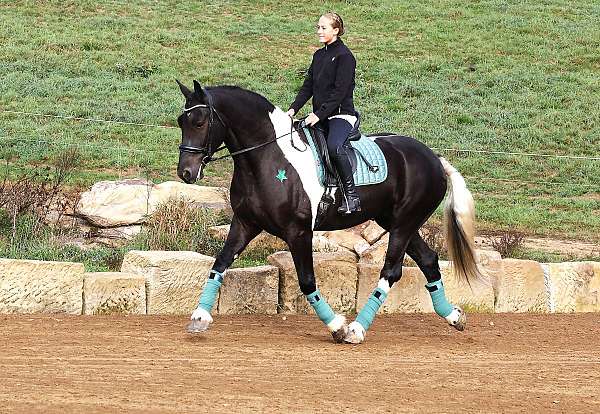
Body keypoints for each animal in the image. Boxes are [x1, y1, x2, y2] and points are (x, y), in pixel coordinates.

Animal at [176, 80, 486, 342]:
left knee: (391, 271)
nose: (186, 173)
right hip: (396, 221)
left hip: (404, 224)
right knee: (429, 260)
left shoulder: (298, 231)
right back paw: (454, 316)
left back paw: (357, 329)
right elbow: (219, 264)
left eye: (200, 121)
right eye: (181, 121)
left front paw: (337, 326)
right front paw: (199, 317)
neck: (267, 159)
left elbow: (306, 280)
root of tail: (434, 158)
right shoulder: (245, 223)